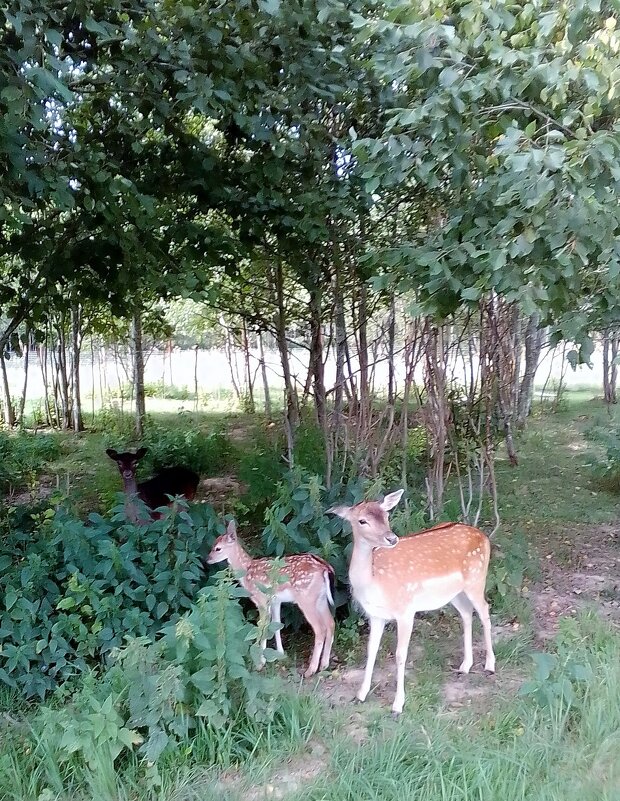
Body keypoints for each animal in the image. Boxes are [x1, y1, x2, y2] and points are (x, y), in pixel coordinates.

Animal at [326, 490, 496, 716]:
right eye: (362, 520)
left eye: (386, 515)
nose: (391, 538)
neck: (374, 583)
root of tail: (483, 536)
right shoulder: (375, 615)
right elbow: (371, 650)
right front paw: (360, 695)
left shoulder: (405, 610)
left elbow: (400, 655)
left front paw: (397, 705)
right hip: (454, 593)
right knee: (467, 613)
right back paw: (465, 666)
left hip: (477, 579)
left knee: (485, 610)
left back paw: (490, 665)